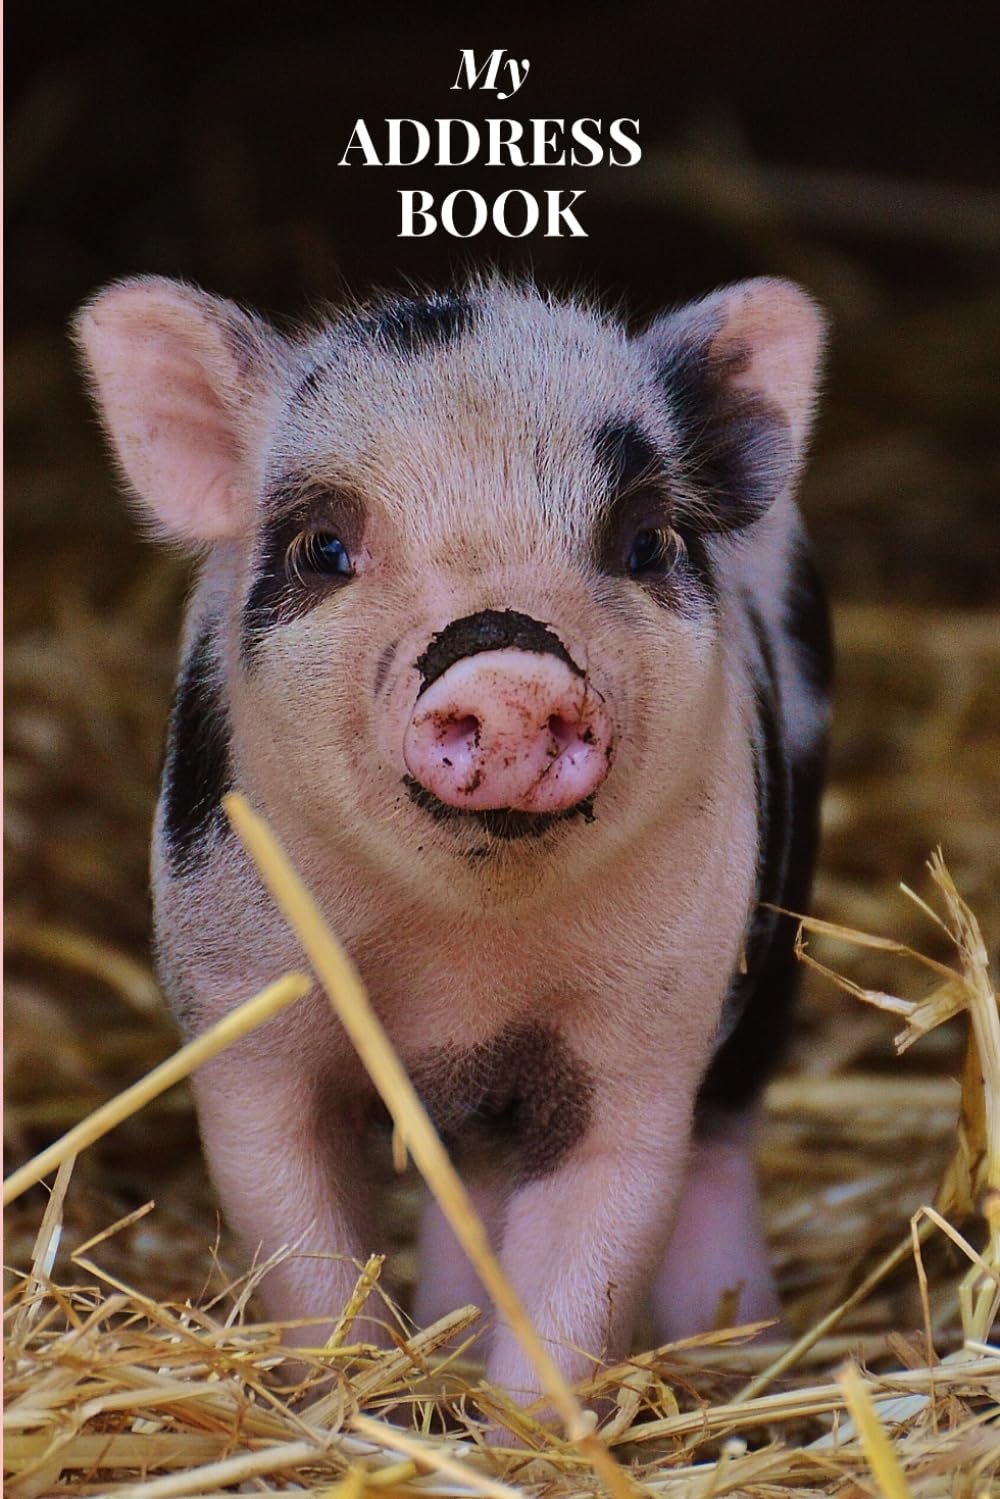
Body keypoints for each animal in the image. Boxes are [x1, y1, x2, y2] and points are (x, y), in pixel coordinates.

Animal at [73, 273, 832, 1409]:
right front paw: (362, 1402)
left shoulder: (646, 1034)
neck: (462, 965)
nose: (508, 666)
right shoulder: (241, 1010)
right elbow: (301, 1244)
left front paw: (524, 1428)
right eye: (323, 548)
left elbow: (589, 1256)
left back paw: (740, 1348)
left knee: (720, 1141)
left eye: (646, 543)